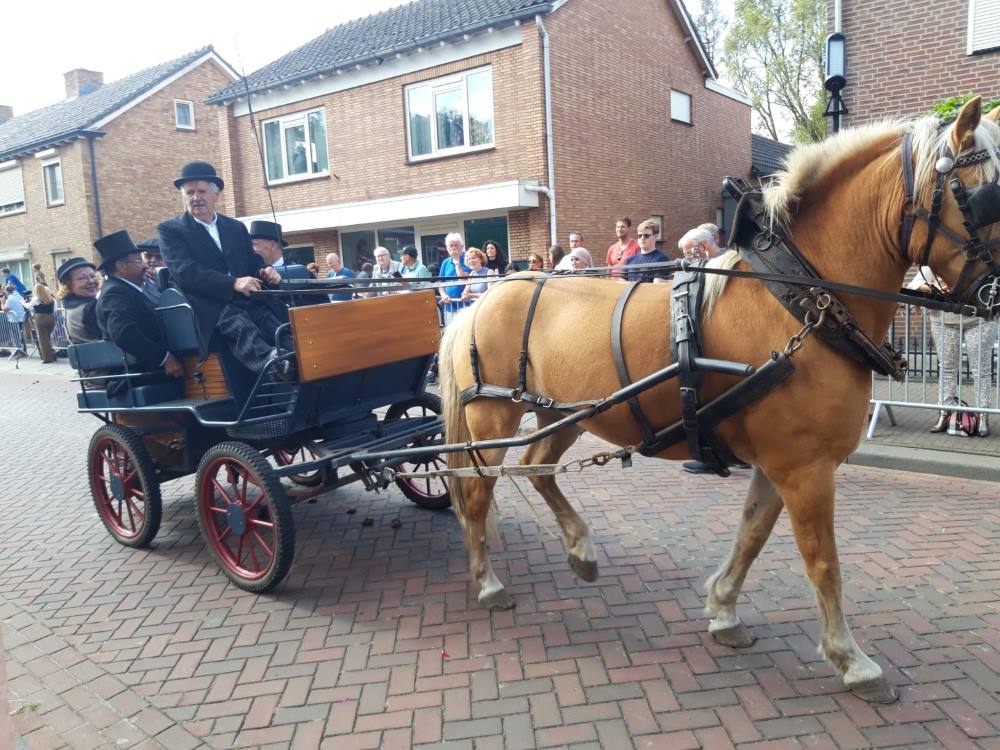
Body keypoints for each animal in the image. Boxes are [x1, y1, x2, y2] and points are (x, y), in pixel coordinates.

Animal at [437, 97, 1000, 704]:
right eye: (983, 196)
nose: (997, 295)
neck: (802, 306)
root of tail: (482, 299)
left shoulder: (782, 464)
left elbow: (751, 536)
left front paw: (724, 610)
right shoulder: (804, 467)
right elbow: (823, 562)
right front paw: (852, 661)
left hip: (565, 414)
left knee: (537, 469)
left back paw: (580, 552)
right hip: (493, 417)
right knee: (476, 493)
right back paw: (488, 583)